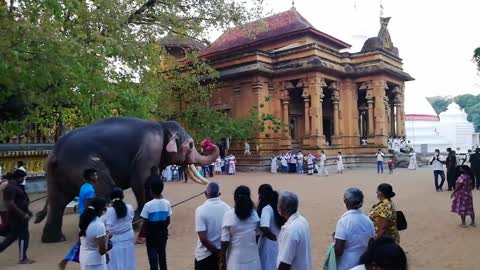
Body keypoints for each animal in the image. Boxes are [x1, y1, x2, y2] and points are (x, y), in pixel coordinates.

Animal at [34, 117, 218, 244]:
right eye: (192, 145)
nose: (206, 144)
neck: (162, 126)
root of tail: (55, 152)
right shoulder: (148, 151)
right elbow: (140, 182)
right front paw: (139, 221)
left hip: (56, 174)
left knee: (58, 201)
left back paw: (54, 239)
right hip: (82, 165)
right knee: (102, 192)